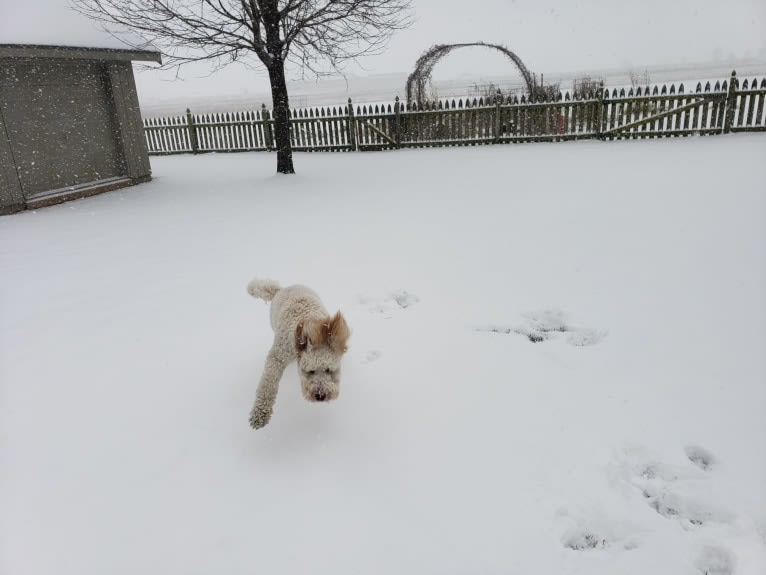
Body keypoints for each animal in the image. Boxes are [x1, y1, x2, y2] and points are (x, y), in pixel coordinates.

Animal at [248, 276, 352, 430]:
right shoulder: (278, 355)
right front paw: (260, 413)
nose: (320, 395)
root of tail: (281, 289)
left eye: (329, 370)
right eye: (310, 371)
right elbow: (268, 383)